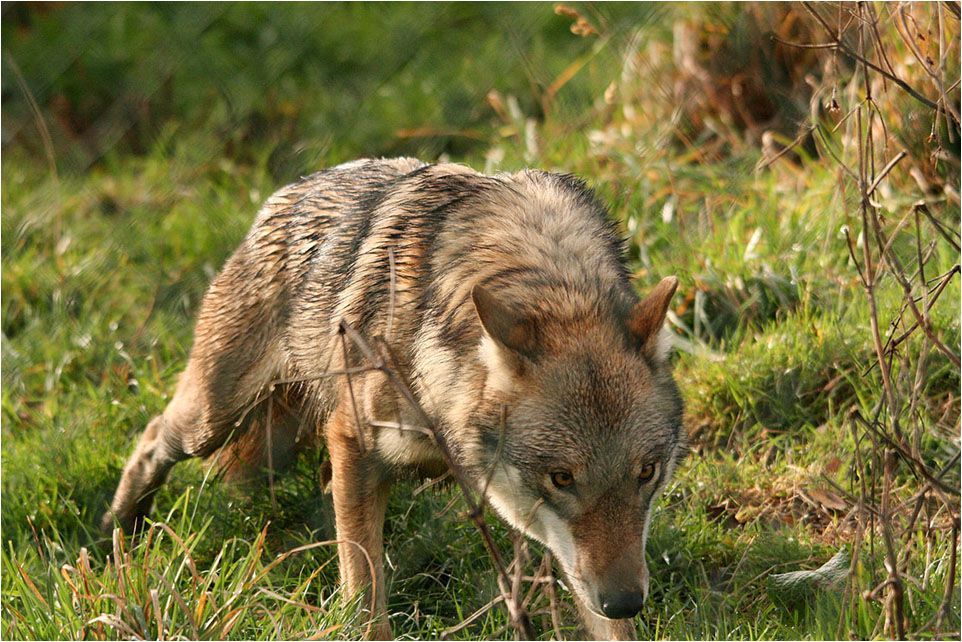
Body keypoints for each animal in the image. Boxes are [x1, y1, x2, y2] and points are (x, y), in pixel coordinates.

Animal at [103, 158, 684, 636]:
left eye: (646, 472)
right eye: (561, 478)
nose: (626, 601)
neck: (546, 280)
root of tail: (286, 193)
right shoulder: (352, 441)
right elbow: (364, 591)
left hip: (270, 447)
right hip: (212, 421)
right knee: (151, 437)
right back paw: (119, 536)